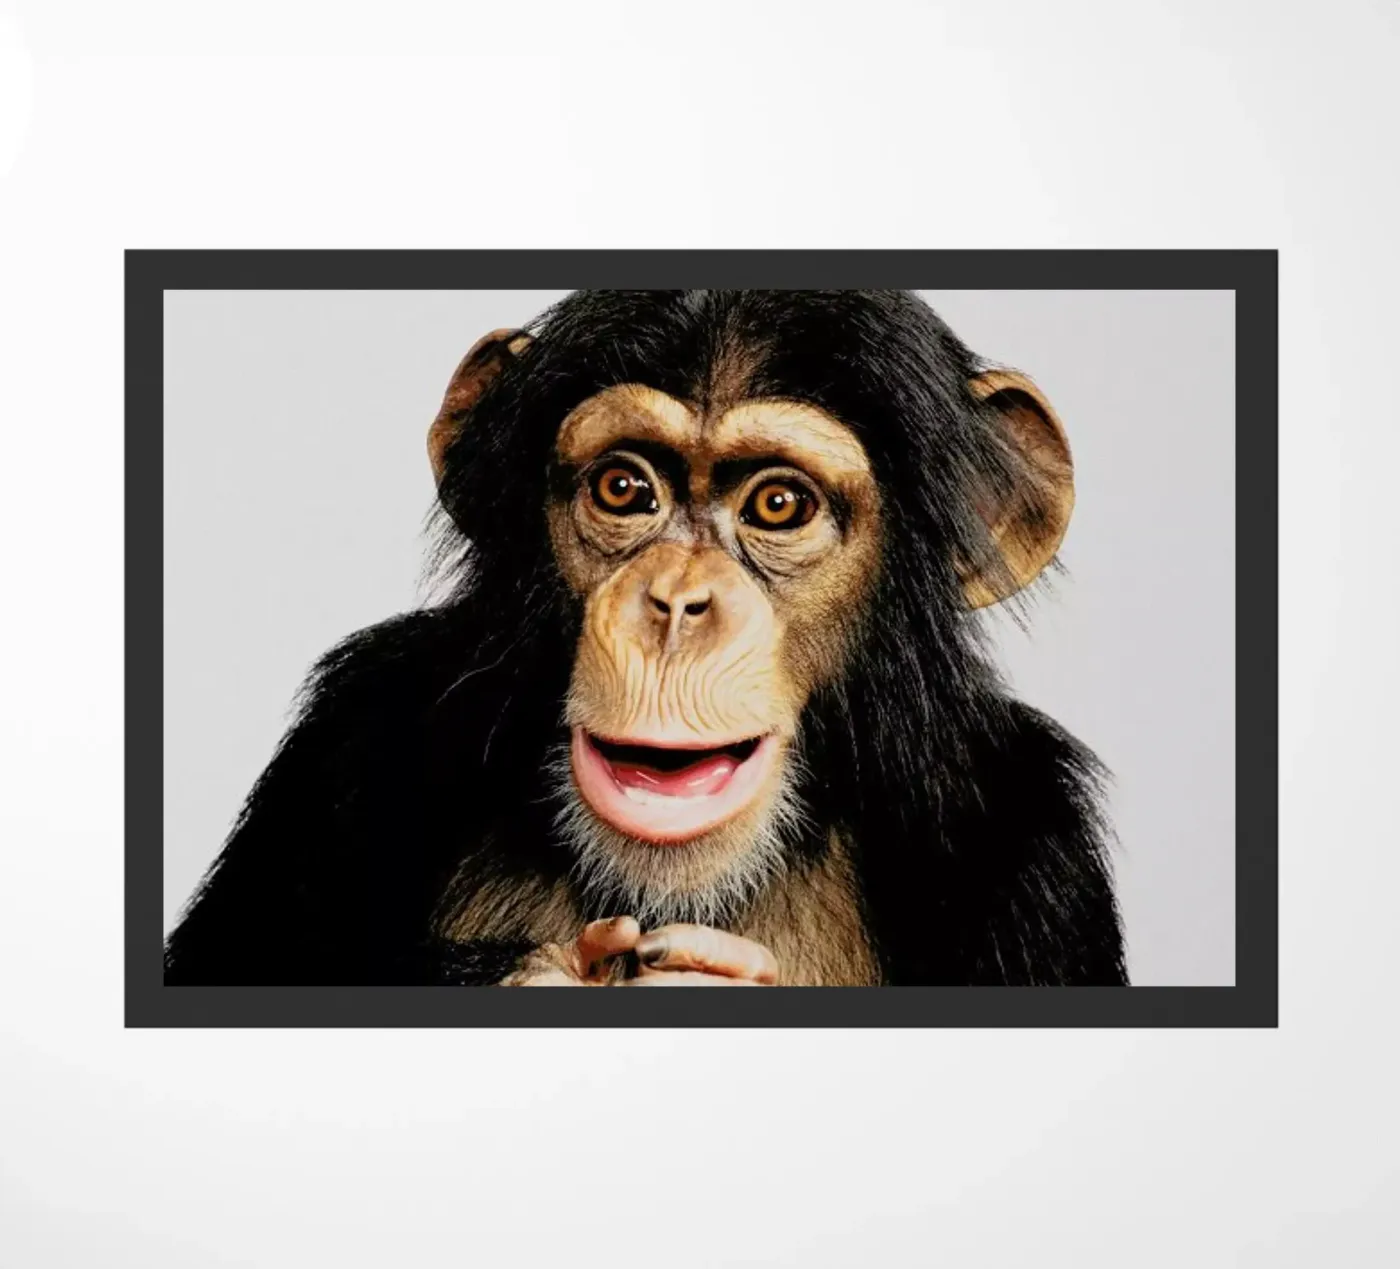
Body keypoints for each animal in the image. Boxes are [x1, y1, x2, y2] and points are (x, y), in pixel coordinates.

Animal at [164, 289, 1128, 987]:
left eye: (780, 503)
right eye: (624, 488)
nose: (674, 600)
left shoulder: (1037, 851)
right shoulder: (353, 733)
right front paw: (544, 975)